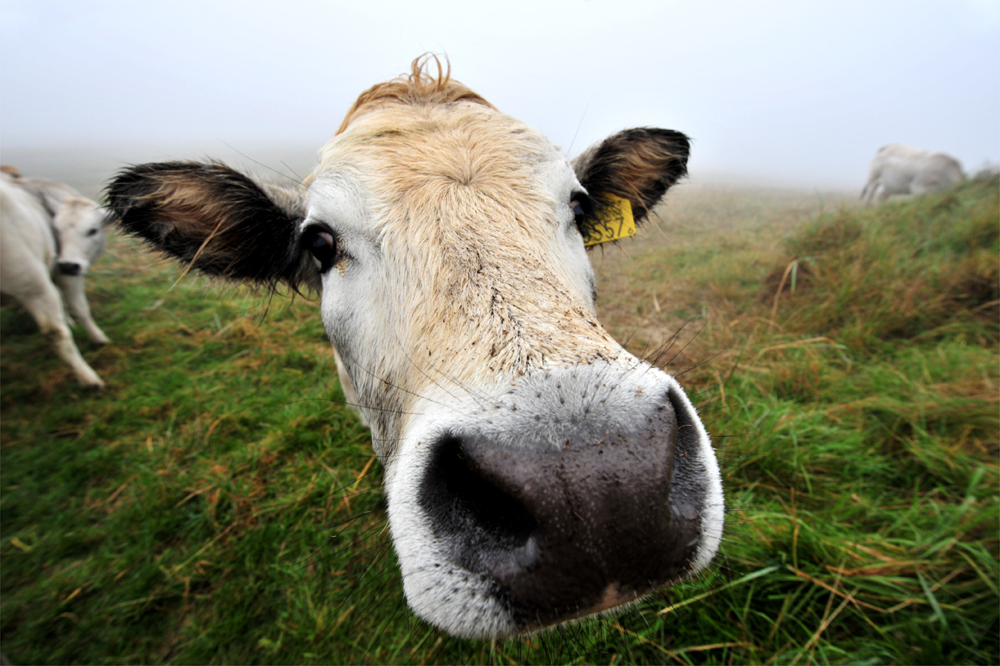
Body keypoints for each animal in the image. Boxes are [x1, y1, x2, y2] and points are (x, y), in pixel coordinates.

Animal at [0, 170, 112, 390]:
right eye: (56, 230)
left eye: (93, 230)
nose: (68, 265)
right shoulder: (66, 276)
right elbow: (80, 309)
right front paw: (97, 337)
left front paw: (68, 319)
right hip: (34, 286)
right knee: (55, 333)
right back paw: (88, 378)